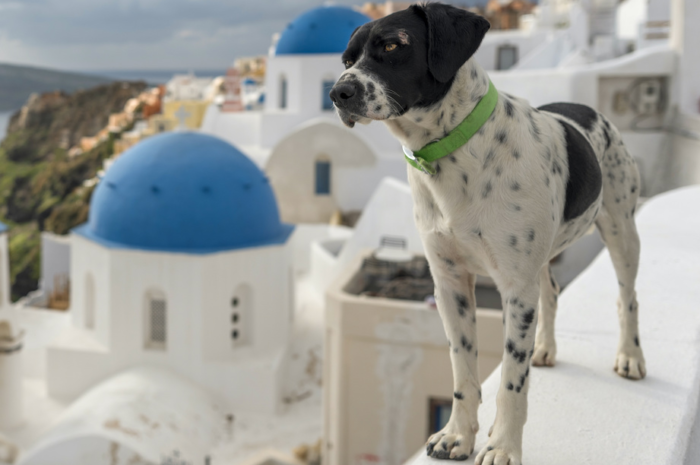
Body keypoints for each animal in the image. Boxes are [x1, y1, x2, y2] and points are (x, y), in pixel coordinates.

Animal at [330, 3, 648, 464]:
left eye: (392, 45)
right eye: (346, 61)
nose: (339, 93)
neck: (452, 154)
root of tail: (586, 109)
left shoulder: (514, 288)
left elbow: (512, 382)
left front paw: (503, 446)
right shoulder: (450, 285)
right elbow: (463, 373)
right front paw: (457, 435)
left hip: (622, 232)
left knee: (628, 298)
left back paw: (630, 356)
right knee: (551, 292)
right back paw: (545, 348)